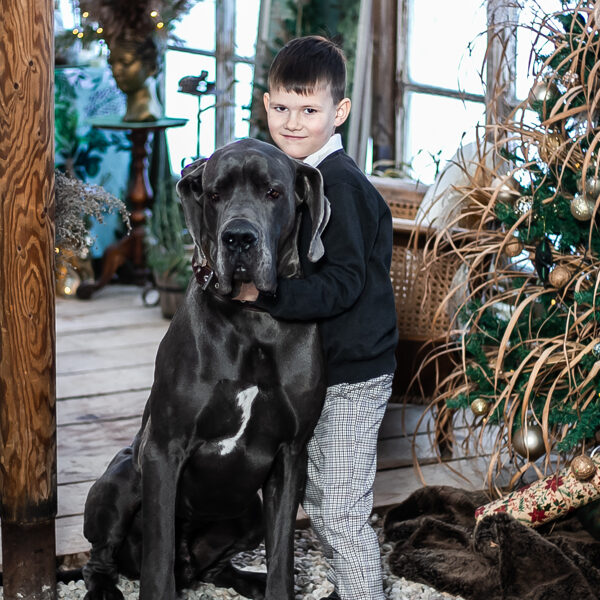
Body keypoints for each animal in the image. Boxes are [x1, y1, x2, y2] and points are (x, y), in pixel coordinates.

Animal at [82, 139, 328, 600]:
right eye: (215, 194)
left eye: (273, 192)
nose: (239, 238)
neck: (252, 317)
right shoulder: (163, 448)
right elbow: (158, 559)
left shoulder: (291, 455)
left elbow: (282, 553)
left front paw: (276, 584)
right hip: (121, 477)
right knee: (101, 557)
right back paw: (105, 587)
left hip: (249, 511)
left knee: (215, 568)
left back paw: (247, 579)